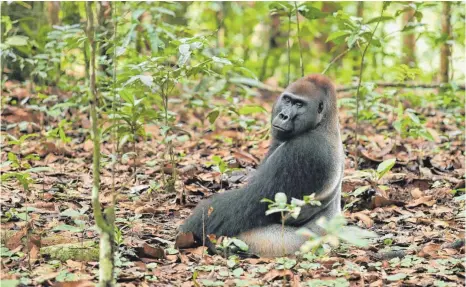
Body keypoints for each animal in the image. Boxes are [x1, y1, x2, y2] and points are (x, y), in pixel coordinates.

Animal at [177, 75, 344, 258]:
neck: (324, 123)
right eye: (287, 100)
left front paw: (193, 224)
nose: (284, 115)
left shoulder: (305, 149)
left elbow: (253, 199)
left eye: (299, 105)